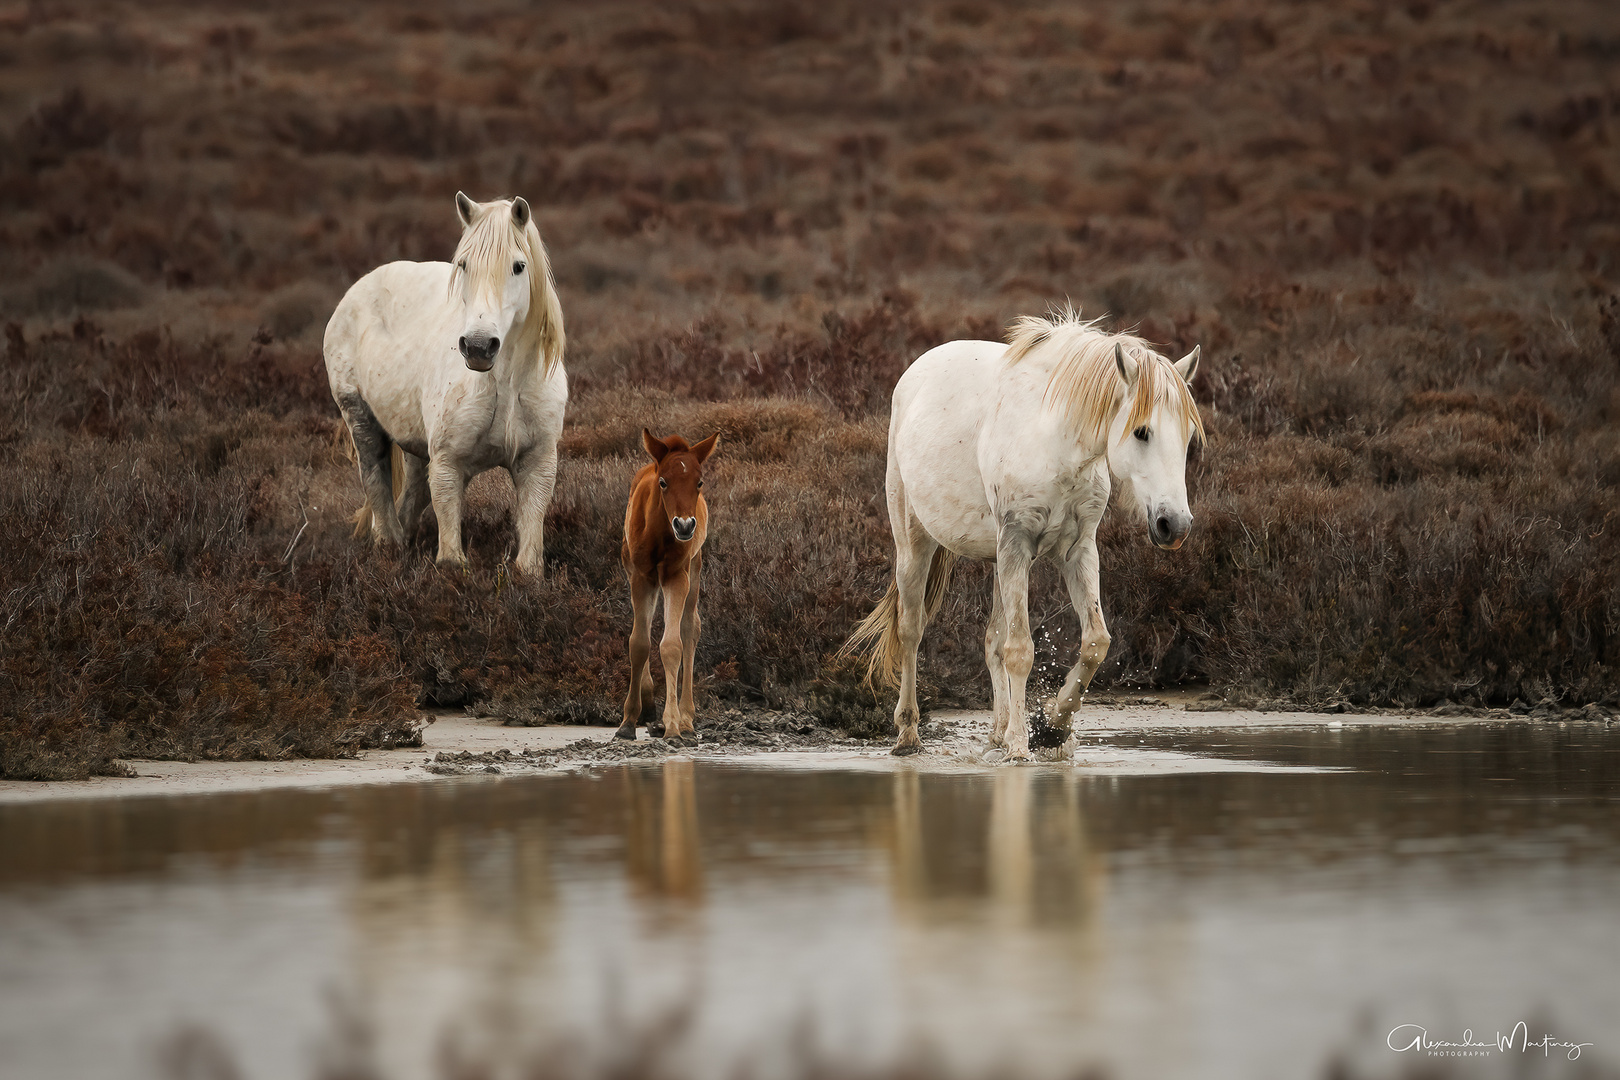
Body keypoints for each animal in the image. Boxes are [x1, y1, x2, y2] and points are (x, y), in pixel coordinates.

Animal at [319, 191, 567, 573]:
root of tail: (358, 288)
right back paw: (388, 546)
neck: (506, 384)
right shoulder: (448, 465)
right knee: (375, 480)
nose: (478, 346)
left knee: (411, 496)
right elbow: (451, 554)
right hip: (360, 418)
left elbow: (529, 554)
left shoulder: (538, 463)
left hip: (415, 443)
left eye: (519, 266)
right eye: (463, 265)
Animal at [615, 430, 719, 744]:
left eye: (699, 482)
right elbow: (638, 643)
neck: (659, 533)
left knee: (690, 628)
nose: (685, 526)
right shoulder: (641, 576)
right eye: (663, 482)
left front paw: (672, 724)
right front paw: (628, 721)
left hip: (694, 567)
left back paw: (685, 718)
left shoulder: (675, 575)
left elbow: (672, 645)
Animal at [848, 304, 1205, 761]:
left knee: (990, 640)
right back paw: (909, 734)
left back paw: (997, 732)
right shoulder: (1016, 543)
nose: (1174, 525)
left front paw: (1052, 728)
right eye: (1142, 431)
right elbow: (1020, 650)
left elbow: (1094, 642)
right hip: (916, 544)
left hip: (997, 558)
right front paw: (1021, 746)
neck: (1055, 440)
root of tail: (915, 371)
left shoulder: (1077, 551)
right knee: (911, 629)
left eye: (1189, 436)